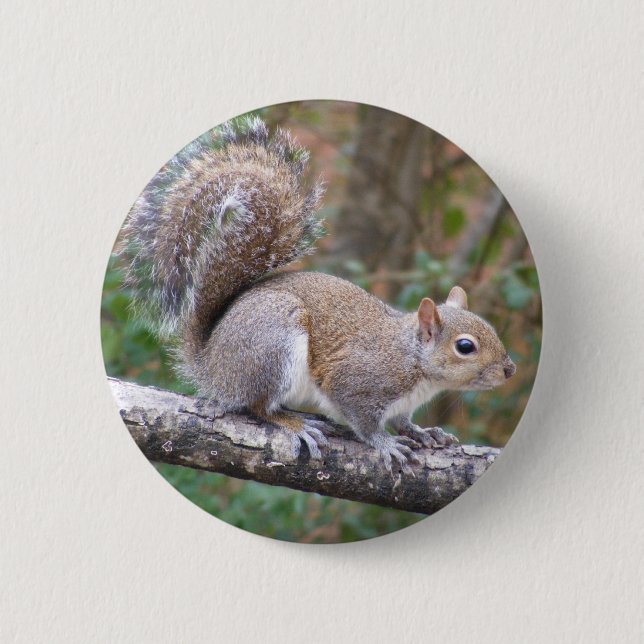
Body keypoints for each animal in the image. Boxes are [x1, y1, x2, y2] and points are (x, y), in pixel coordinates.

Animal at [118, 116, 516, 473]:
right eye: (465, 347)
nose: (510, 370)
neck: (413, 360)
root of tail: (211, 364)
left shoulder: (401, 403)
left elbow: (404, 421)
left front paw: (424, 433)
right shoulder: (357, 381)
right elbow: (362, 420)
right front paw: (385, 443)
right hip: (273, 346)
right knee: (256, 406)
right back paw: (296, 424)